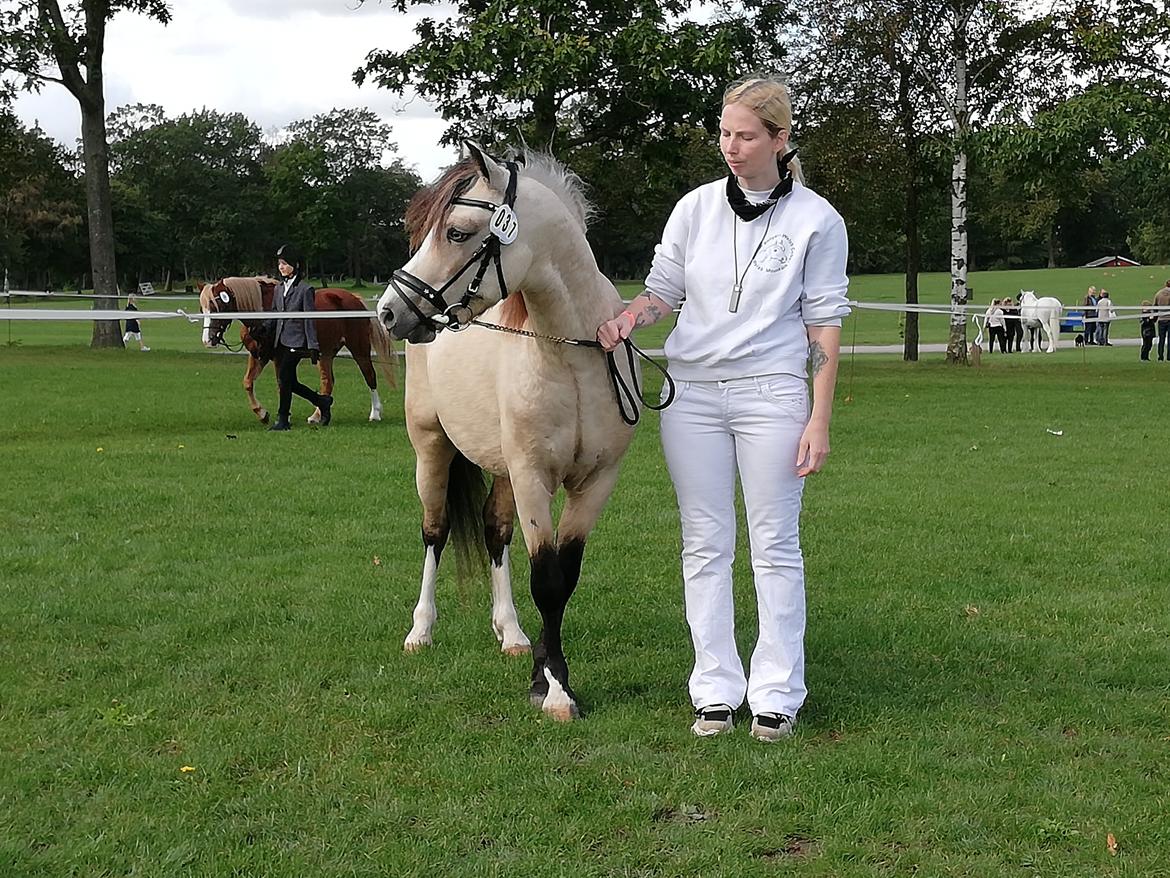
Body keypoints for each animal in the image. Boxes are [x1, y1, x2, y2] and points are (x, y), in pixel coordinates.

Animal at [200, 276, 395, 424]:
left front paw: (281, 417)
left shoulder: (279, 358)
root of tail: (353, 298)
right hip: (325, 354)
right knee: (328, 382)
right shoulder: (258, 355)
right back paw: (318, 415)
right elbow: (248, 382)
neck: (265, 313)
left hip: (359, 348)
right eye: (203, 308)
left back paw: (375, 413)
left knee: (369, 375)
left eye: (217, 306)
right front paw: (262, 414)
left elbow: (282, 385)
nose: (208, 340)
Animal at [376, 145, 638, 722]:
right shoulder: (533, 478)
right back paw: (420, 631)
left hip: (500, 471)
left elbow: (564, 576)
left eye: (456, 232)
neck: (574, 356)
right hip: (432, 451)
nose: (388, 311)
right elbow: (547, 578)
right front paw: (554, 689)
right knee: (435, 531)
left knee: (494, 534)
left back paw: (511, 633)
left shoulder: (596, 482)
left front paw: (543, 669)